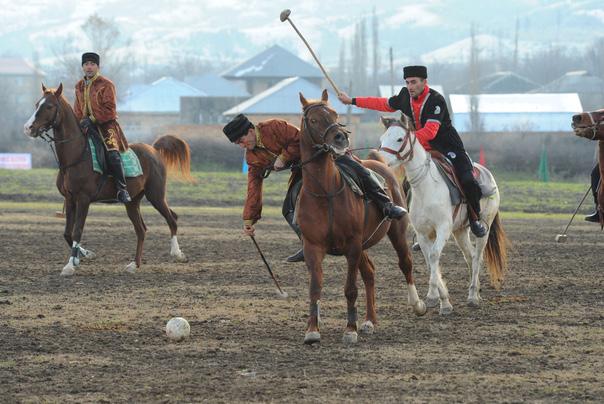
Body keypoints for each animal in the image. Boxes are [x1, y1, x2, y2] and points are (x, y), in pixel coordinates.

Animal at [23, 83, 191, 276]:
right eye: (37, 104)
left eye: (49, 106)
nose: (28, 128)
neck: (77, 155)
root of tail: (154, 150)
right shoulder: (70, 199)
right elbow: (67, 233)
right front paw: (85, 254)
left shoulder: (83, 199)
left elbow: (77, 231)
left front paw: (70, 265)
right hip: (132, 202)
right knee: (141, 230)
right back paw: (134, 264)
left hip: (156, 195)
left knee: (172, 219)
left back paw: (177, 253)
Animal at [296, 90, 426, 345]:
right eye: (314, 120)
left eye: (334, 114)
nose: (339, 138)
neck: (325, 192)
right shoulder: (313, 247)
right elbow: (315, 287)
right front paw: (312, 330)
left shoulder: (352, 245)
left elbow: (350, 289)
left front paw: (350, 330)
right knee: (370, 273)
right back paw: (369, 321)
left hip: (395, 233)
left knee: (405, 263)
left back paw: (416, 304)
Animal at [377, 115, 509, 314]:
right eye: (383, 138)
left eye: (399, 139)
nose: (382, 161)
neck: (426, 187)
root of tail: (488, 174)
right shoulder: (423, 234)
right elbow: (430, 260)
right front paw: (444, 302)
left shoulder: (443, 229)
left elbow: (433, 256)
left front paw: (432, 296)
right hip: (460, 231)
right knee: (470, 256)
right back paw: (476, 292)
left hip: (483, 227)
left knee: (477, 257)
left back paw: (472, 296)